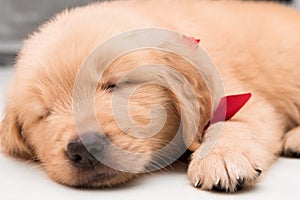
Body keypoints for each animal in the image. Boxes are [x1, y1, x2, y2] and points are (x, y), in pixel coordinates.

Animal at [0, 0, 300, 192]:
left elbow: (237, 119)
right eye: (44, 113)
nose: (84, 150)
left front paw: (222, 157)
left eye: (114, 85)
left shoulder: (239, 94)